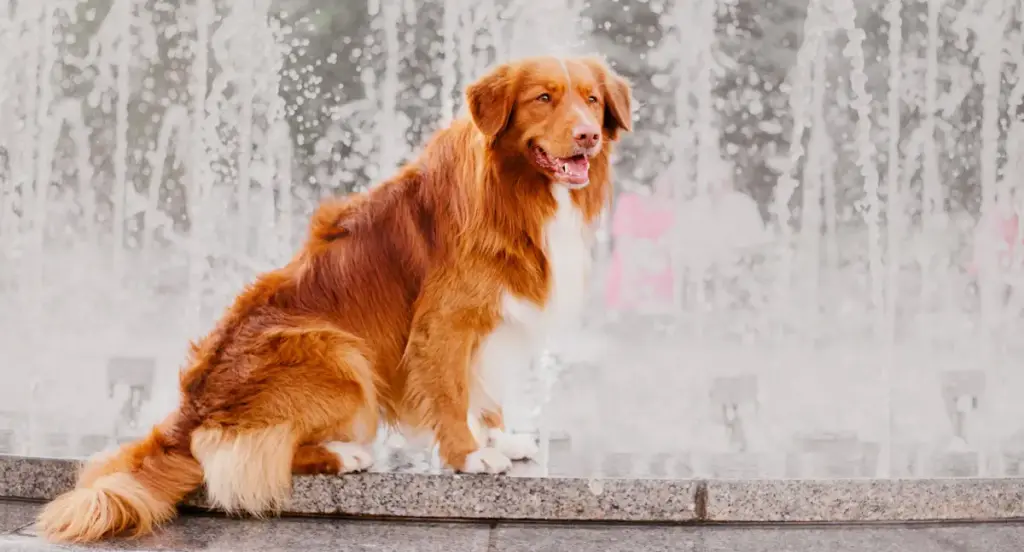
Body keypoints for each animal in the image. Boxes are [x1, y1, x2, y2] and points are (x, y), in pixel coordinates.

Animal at [36, 57, 630, 544]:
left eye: (592, 100)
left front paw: (502, 440)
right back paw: (347, 454)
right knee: (235, 455)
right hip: (339, 356)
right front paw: (469, 457)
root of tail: (186, 413)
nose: (586, 136)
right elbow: (453, 391)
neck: (515, 190)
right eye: (543, 97)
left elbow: (484, 392)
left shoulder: (490, 318)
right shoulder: (445, 321)